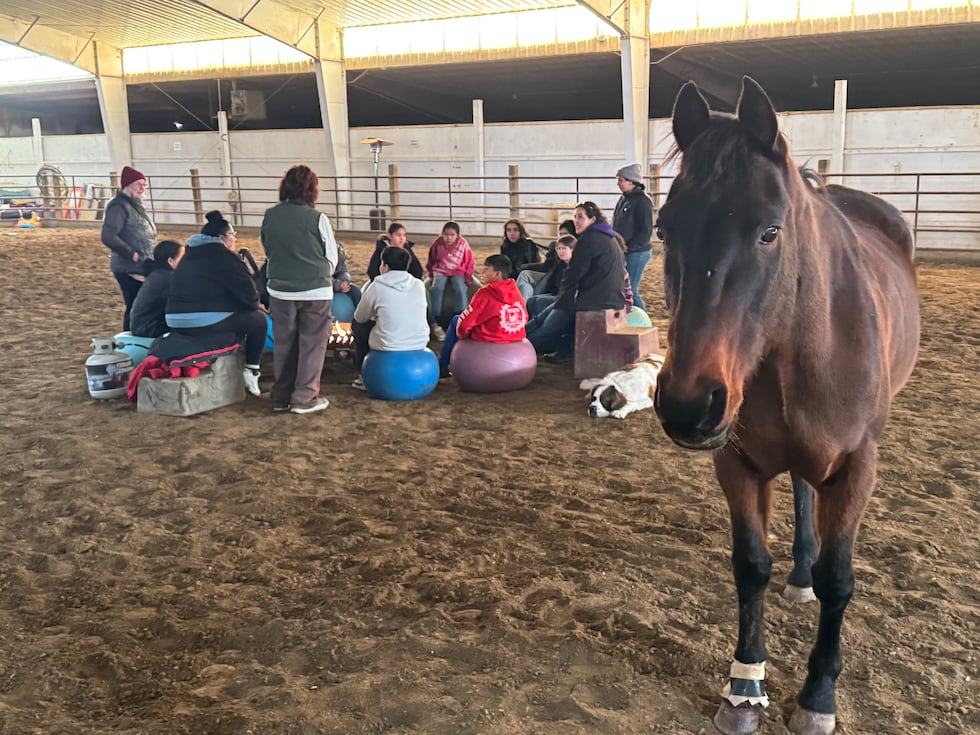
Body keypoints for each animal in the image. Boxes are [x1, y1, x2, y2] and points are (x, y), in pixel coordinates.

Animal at [653, 77, 920, 735]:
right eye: (665, 230)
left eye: (769, 231)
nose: (689, 404)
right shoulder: (736, 464)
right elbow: (750, 565)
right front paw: (744, 687)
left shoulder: (856, 469)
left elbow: (839, 578)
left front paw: (818, 694)